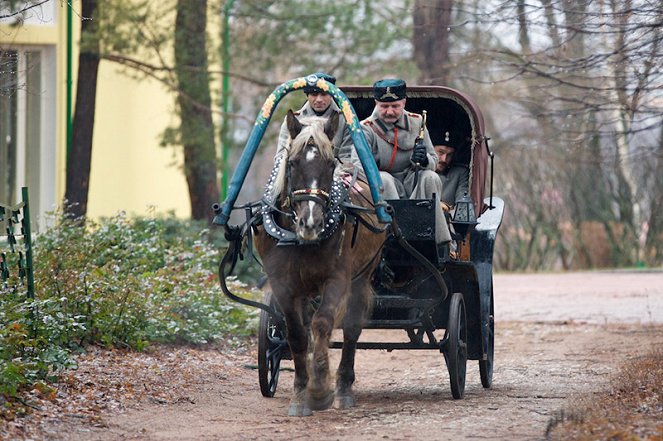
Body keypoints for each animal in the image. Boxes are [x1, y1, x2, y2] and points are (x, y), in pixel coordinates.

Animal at [255, 110, 390, 416]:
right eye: (292, 163)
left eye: (330, 164)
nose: (311, 223)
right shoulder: (283, 285)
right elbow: (297, 335)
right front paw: (300, 393)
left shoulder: (337, 279)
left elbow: (322, 324)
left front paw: (319, 390)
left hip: (361, 277)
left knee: (351, 329)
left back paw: (343, 387)